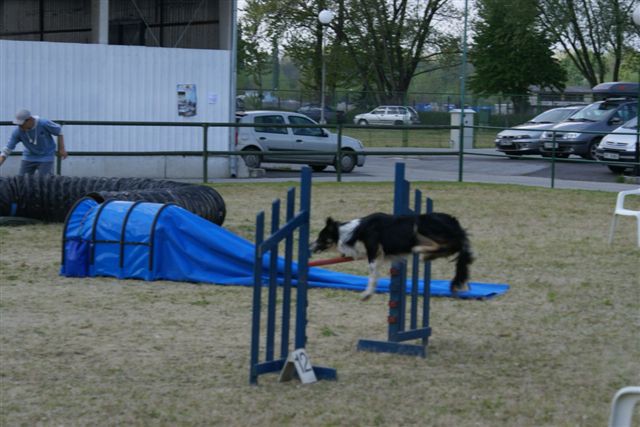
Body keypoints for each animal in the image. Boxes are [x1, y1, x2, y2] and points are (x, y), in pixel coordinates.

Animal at [312, 213, 472, 300]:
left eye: (320, 238)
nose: (309, 246)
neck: (353, 232)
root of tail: (455, 223)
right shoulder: (379, 255)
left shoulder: (373, 252)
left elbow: (372, 274)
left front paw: (367, 294)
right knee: (451, 247)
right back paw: (428, 256)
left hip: (421, 227)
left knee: (443, 245)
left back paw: (420, 250)